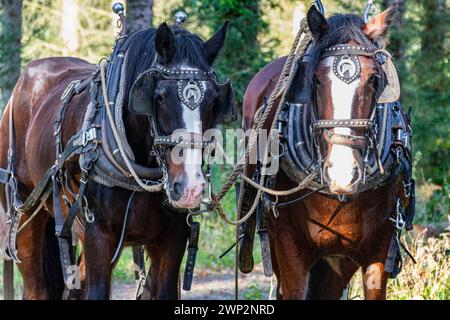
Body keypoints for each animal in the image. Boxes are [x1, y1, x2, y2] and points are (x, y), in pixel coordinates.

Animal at [0, 22, 232, 300]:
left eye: (214, 98)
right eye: (160, 96)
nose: (190, 188)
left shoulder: (173, 238)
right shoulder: (98, 236)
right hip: (25, 214)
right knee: (37, 286)